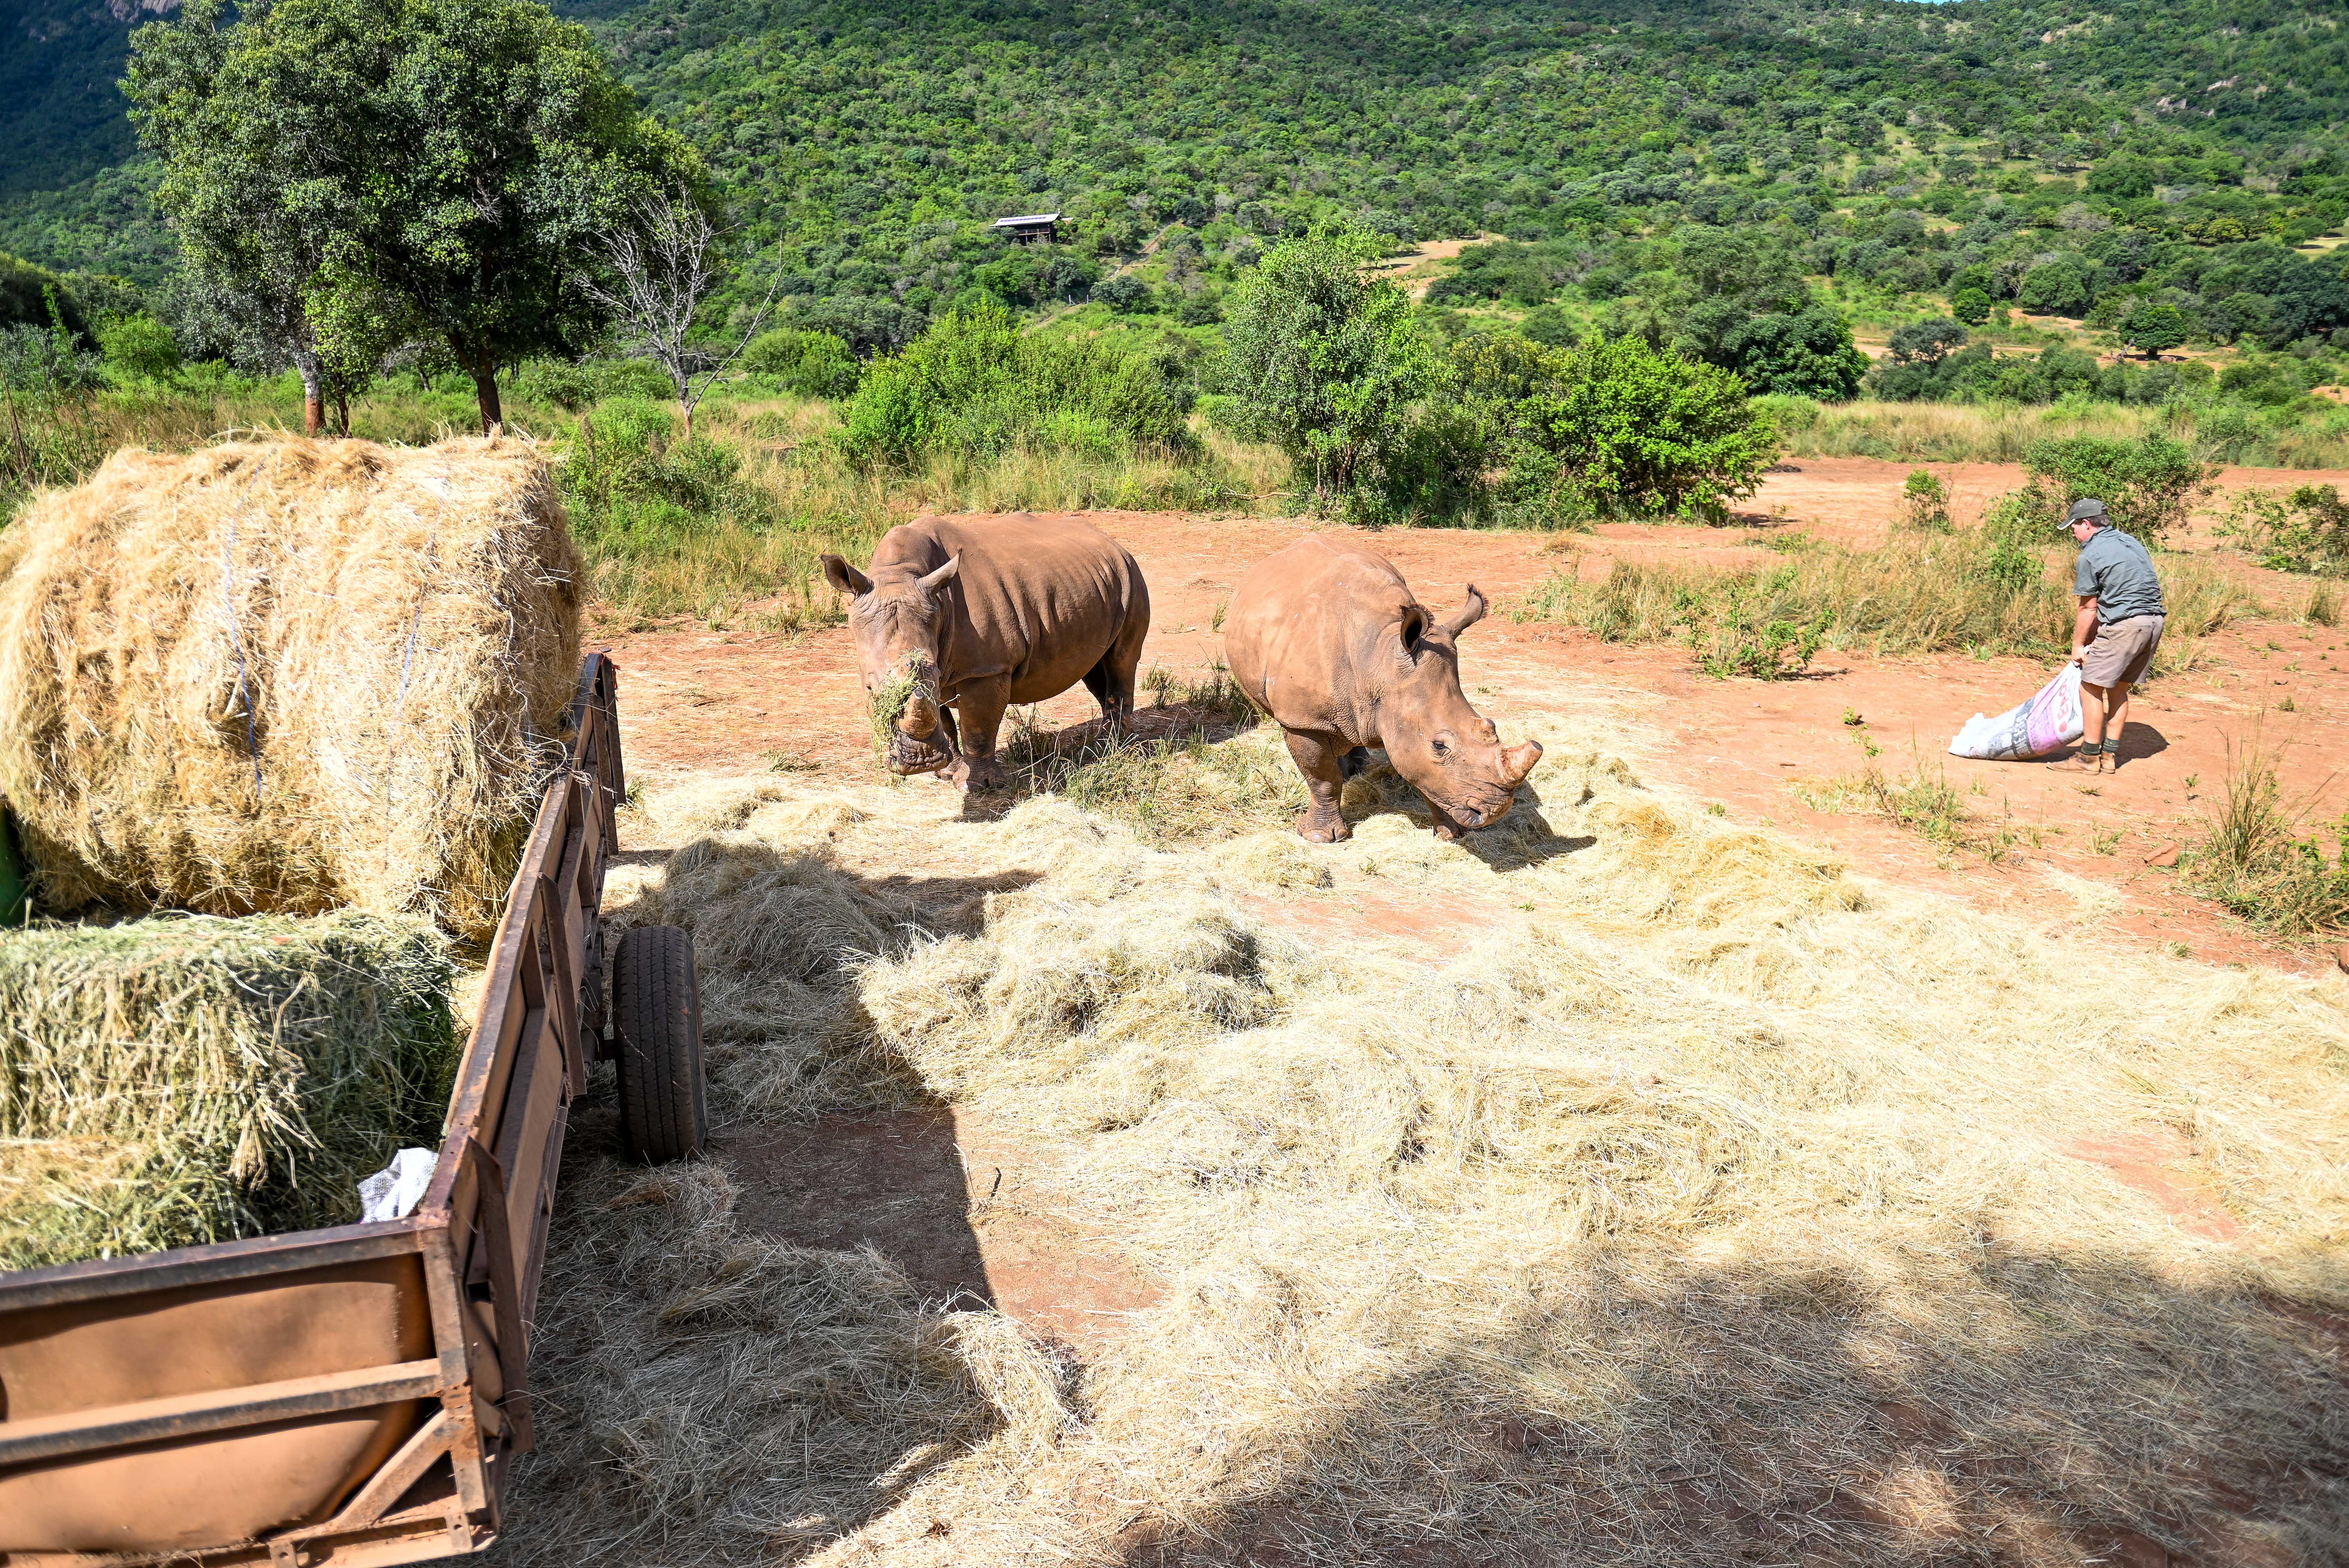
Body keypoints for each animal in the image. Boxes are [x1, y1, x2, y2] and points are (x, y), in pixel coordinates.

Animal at [821, 513, 1150, 791]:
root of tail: (1114, 542)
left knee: (1121, 661)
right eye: (870, 689)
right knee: (1095, 669)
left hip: (1132, 577)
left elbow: (977, 729)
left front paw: (981, 786)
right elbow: (945, 721)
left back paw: (1111, 749)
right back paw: (1106, 744)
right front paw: (946, 772)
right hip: (1097, 582)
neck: (899, 575)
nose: (919, 762)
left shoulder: (986, 669)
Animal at [1225, 537, 1541, 842]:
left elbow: (1427, 777)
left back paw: (1357, 770)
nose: (1496, 812)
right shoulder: (1303, 720)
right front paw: (1320, 838)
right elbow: (1323, 779)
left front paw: (1452, 834)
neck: (1380, 662)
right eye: (1439, 746)